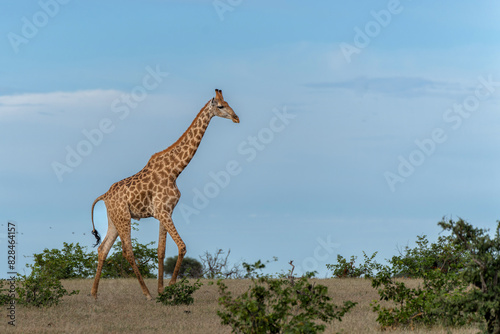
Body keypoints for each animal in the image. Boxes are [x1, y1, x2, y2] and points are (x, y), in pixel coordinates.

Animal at [89, 88, 239, 300]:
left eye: (228, 103)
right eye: (220, 106)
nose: (236, 118)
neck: (175, 170)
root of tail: (104, 195)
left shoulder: (165, 212)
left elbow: (161, 250)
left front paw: (162, 290)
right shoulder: (163, 211)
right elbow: (182, 246)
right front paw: (171, 289)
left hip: (114, 219)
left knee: (103, 249)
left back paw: (94, 294)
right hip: (124, 218)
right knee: (127, 251)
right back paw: (146, 293)